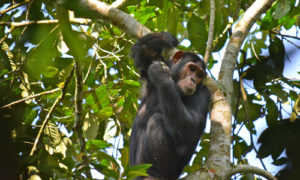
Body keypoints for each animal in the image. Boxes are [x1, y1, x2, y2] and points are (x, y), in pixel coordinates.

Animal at [129, 31, 211, 179]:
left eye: (199, 75)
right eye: (192, 68)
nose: (193, 80)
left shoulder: (203, 94)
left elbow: (191, 129)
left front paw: (161, 76)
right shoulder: (149, 69)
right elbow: (143, 52)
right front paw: (167, 38)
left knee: (156, 120)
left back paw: (156, 174)